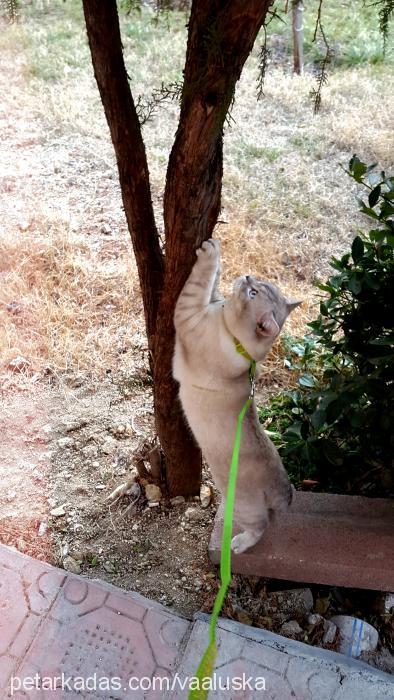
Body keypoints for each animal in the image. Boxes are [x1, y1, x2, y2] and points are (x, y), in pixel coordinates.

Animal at [173, 239, 302, 552]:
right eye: (256, 284)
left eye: (253, 293)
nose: (246, 276)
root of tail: (285, 489)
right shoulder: (209, 302)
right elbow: (213, 283)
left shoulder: (188, 312)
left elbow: (200, 279)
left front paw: (210, 251)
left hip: (241, 506)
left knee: (260, 527)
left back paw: (238, 544)